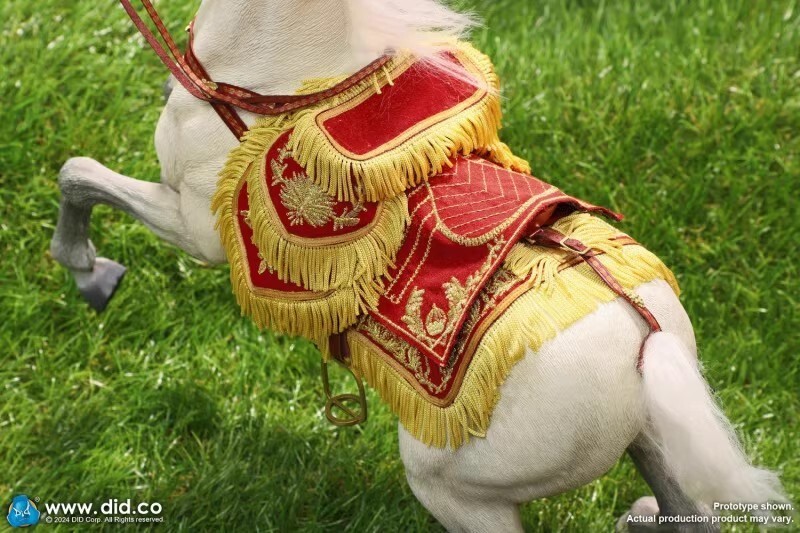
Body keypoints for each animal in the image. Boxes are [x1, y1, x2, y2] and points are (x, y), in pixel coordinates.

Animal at [49, 1, 788, 530]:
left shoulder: (191, 224)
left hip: (456, 489)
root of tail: (647, 341)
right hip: (657, 446)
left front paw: (88, 272)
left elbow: (78, 175)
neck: (271, 79)